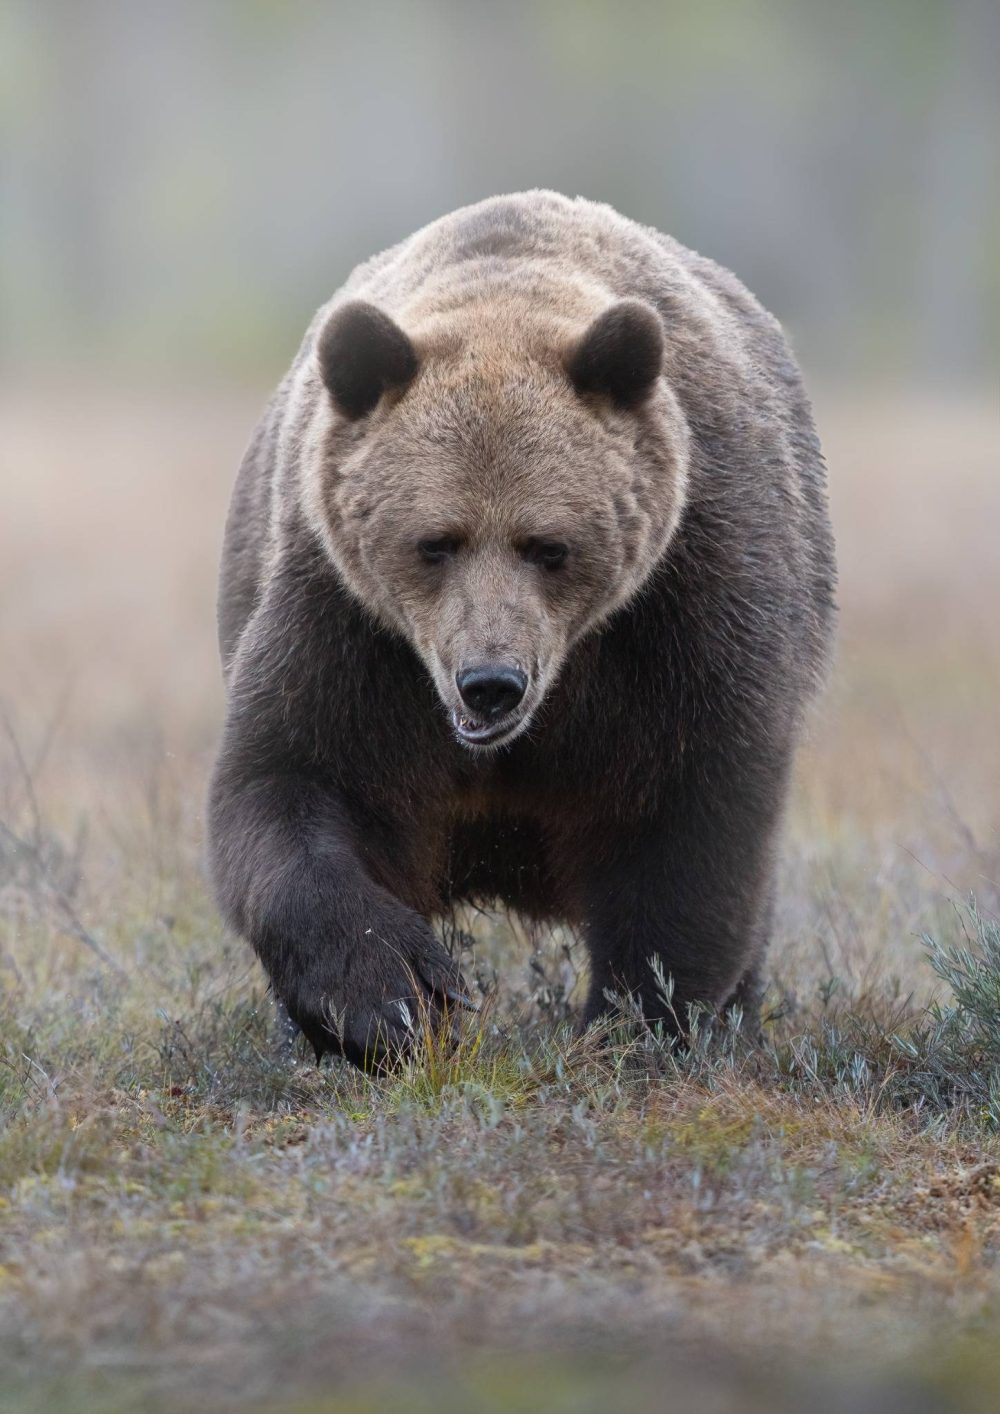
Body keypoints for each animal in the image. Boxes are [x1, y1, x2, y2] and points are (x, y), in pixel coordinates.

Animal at [209, 190, 837, 1068]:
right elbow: (292, 780)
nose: (491, 684)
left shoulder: (691, 602)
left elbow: (693, 823)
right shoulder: (349, 624)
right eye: (435, 541)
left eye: (549, 545)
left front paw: (638, 1021)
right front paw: (396, 995)